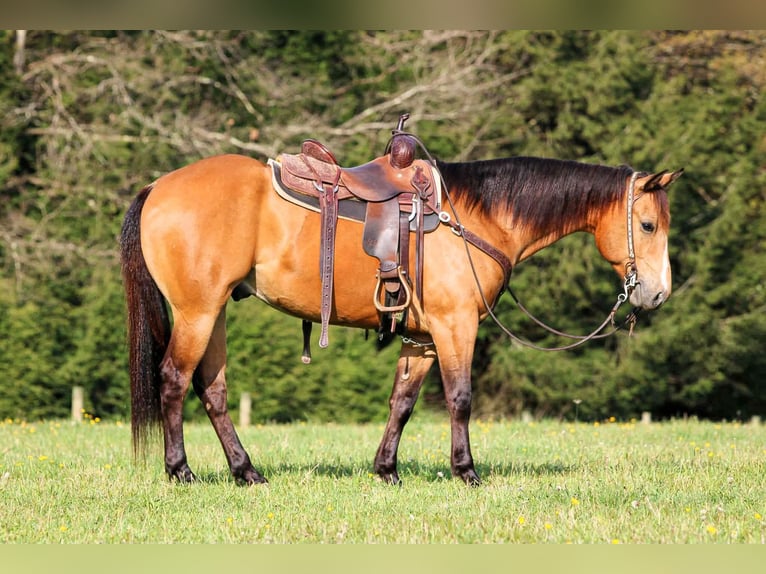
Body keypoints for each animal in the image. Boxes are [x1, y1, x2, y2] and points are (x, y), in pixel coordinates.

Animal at [120, 137, 682, 486]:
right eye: (648, 225)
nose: (657, 294)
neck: (477, 215)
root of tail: (157, 187)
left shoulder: (423, 338)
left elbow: (402, 403)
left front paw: (387, 469)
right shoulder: (456, 327)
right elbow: (460, 399)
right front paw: (466, 471)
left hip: (214, 313)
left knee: (211, 390)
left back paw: (246, 472)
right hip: (197, 312)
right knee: (173, 379)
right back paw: (181, 470)